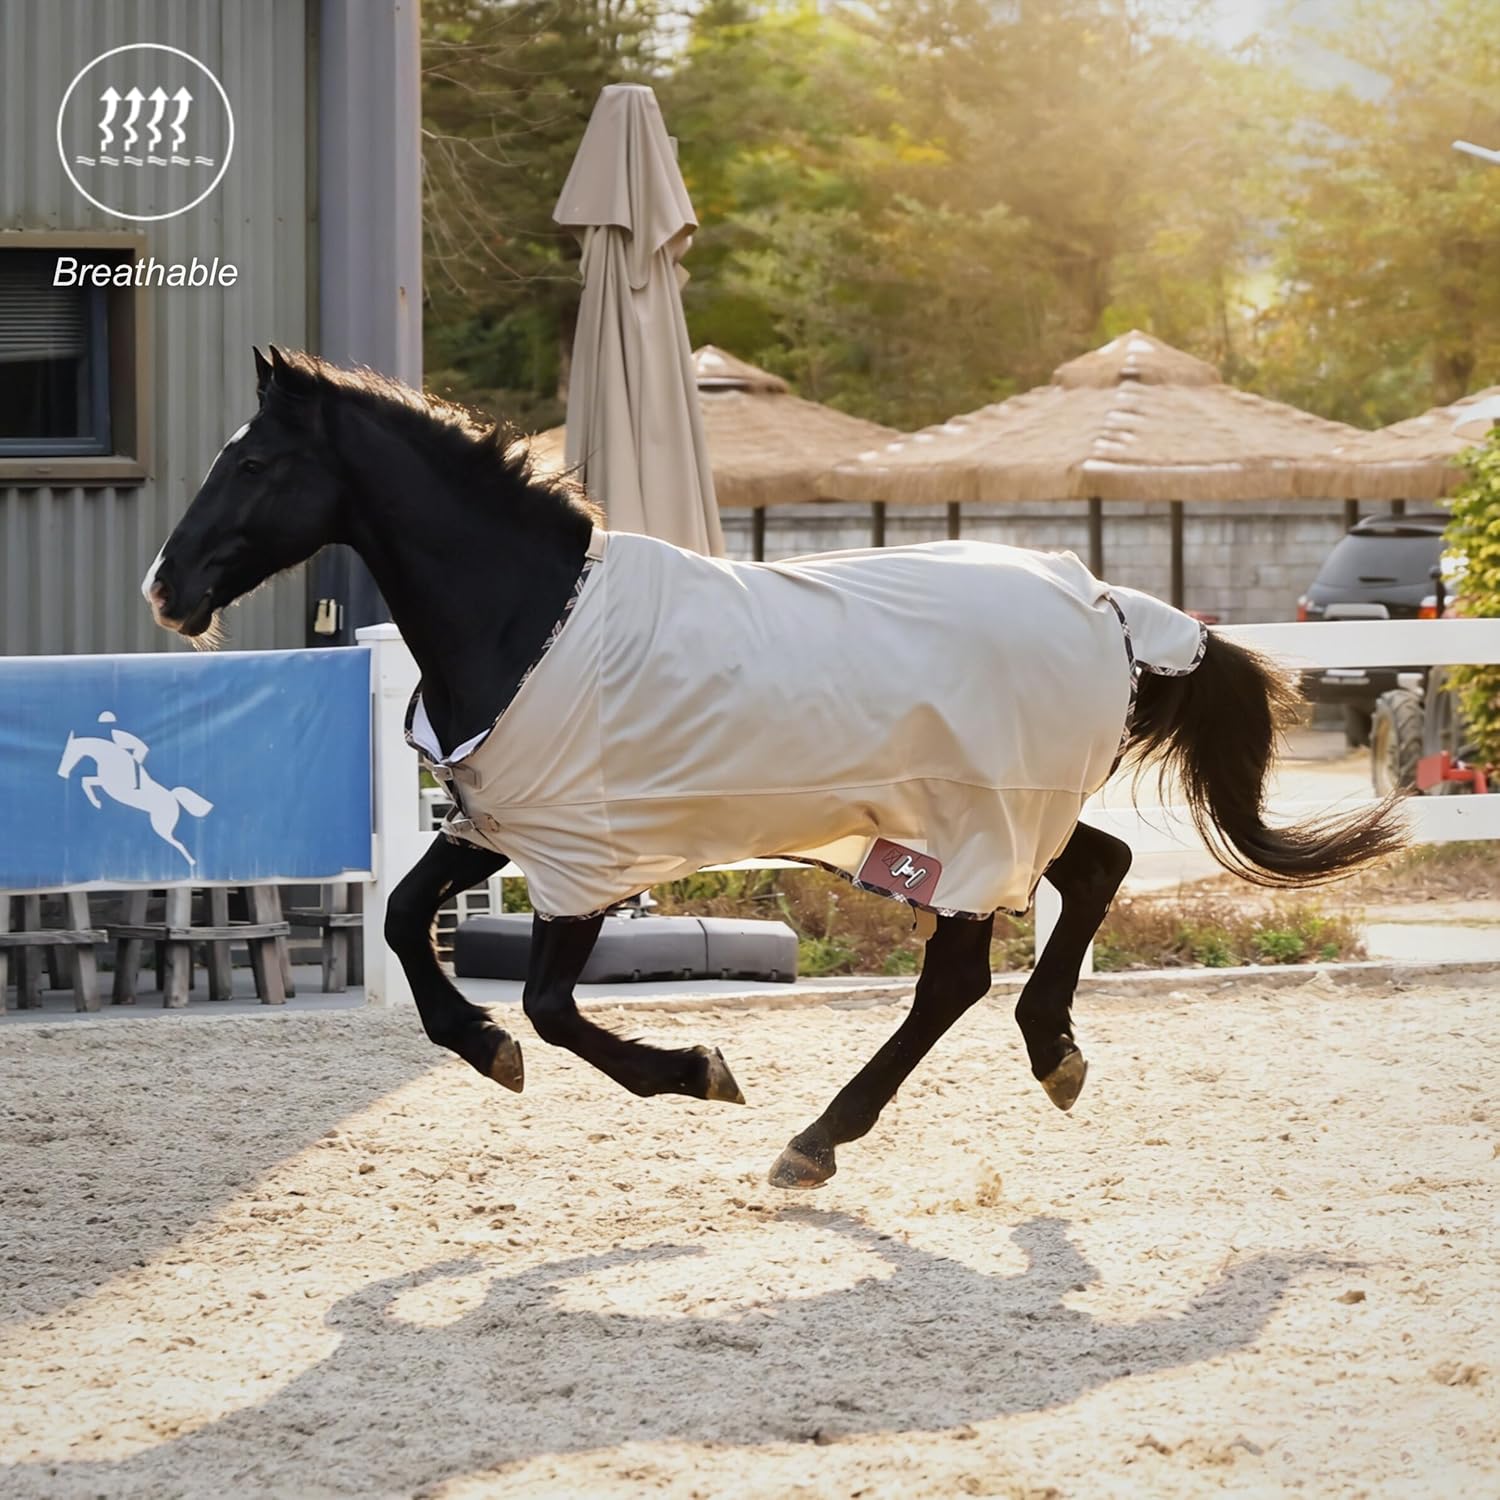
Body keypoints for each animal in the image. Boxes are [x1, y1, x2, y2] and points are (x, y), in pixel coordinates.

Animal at [141, 347, 1404, 1188]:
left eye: (255, 464)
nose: (168, 587)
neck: (531, 618)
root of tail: (1107, 603)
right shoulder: (506, 826)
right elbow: (409, 921)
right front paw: (484, 1048)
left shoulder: (586, 860)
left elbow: (550, 1007)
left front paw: (697, 1069)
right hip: (984, 822)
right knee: (1095, 872)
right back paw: (1042, 1059)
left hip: (977, 824)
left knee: (963, 970)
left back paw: (822, 1137)